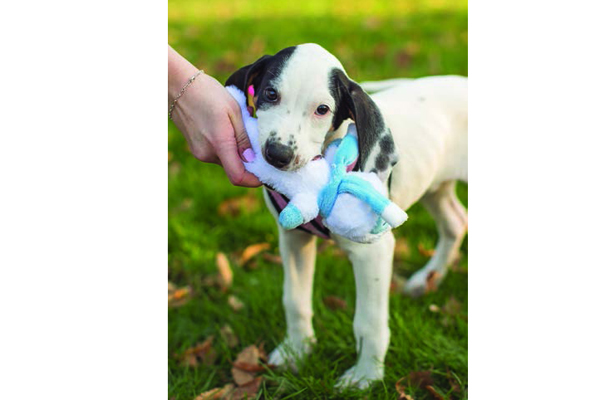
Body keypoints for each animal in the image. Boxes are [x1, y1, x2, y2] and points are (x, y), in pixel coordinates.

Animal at [227, 43, 466, 388]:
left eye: (322, 110)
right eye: (270, 94)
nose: (278, 155)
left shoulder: (373, 254)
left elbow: (368, 322)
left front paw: (366, 376)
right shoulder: (294, 239)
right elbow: (295, 300)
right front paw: (295, 351)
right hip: (435, 185)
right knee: (455, 223)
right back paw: (426, 279)